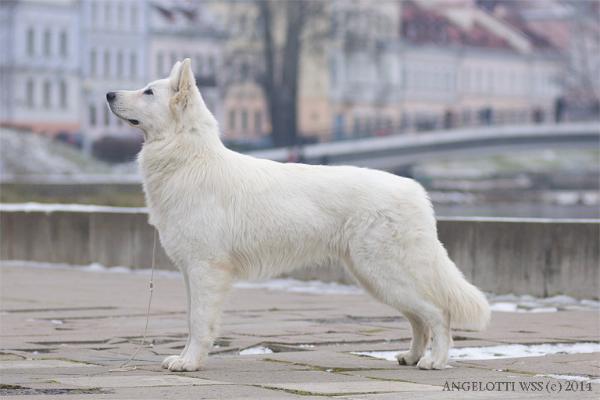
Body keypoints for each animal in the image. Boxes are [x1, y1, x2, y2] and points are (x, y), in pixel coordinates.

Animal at [108, 58, 490, 372]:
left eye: (148, 91)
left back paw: (435, 361)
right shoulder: (192, 272)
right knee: (419, 319)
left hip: (383, 274)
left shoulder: (206, 270)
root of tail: (415, 191)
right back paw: (411, 357)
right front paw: (188, 358)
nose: (109, 93)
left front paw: (189, 363)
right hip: (376, 278)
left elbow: (199, 322)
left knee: (438, 314)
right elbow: (191, 320)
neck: (189, 157)